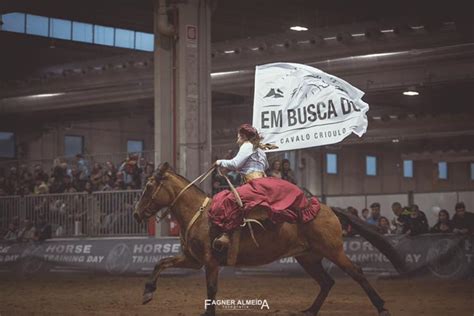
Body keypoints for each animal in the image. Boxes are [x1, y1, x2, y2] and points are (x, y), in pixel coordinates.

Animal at [132, 163, 404, 316]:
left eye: (148, 186)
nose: (136, 214)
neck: (201, 215)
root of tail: (327, 208)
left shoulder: (210, 262)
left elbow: (211, 289)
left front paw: (208, 313)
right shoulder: (192, 260)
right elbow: (161, 263)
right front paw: (147, 292)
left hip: (333, 251)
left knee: (356, 273)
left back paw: (381, 306)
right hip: (308, 257)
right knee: (327, 282)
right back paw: (310, 310)